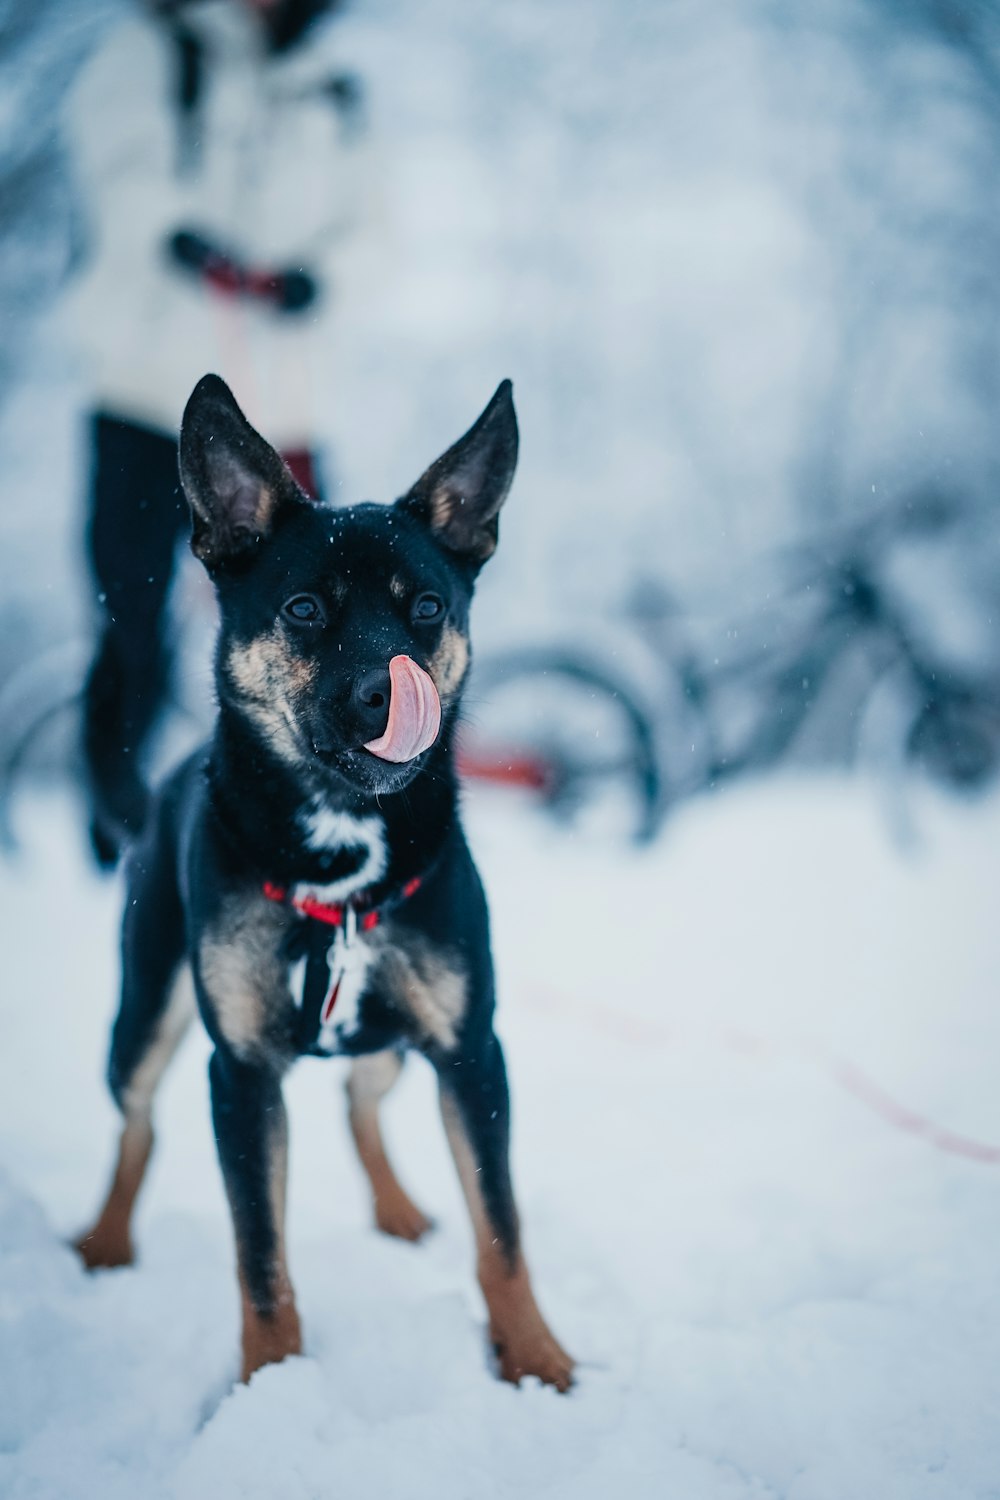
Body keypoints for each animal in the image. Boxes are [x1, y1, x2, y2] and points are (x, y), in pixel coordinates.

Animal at [76, 375, 578, 1392]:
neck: (342, 855)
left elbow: (502, 1233)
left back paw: (398, 1209)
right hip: (141, 1017)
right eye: (305, 609)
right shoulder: (239, 1075)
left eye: (427, 607)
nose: (387, 695)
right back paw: (107, 1242)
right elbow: (260, 1259)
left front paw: (536, 1360)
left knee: (360, 1100)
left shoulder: (472, 1052)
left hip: (393, 1040)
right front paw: (269, 1385)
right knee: (137, 1125)